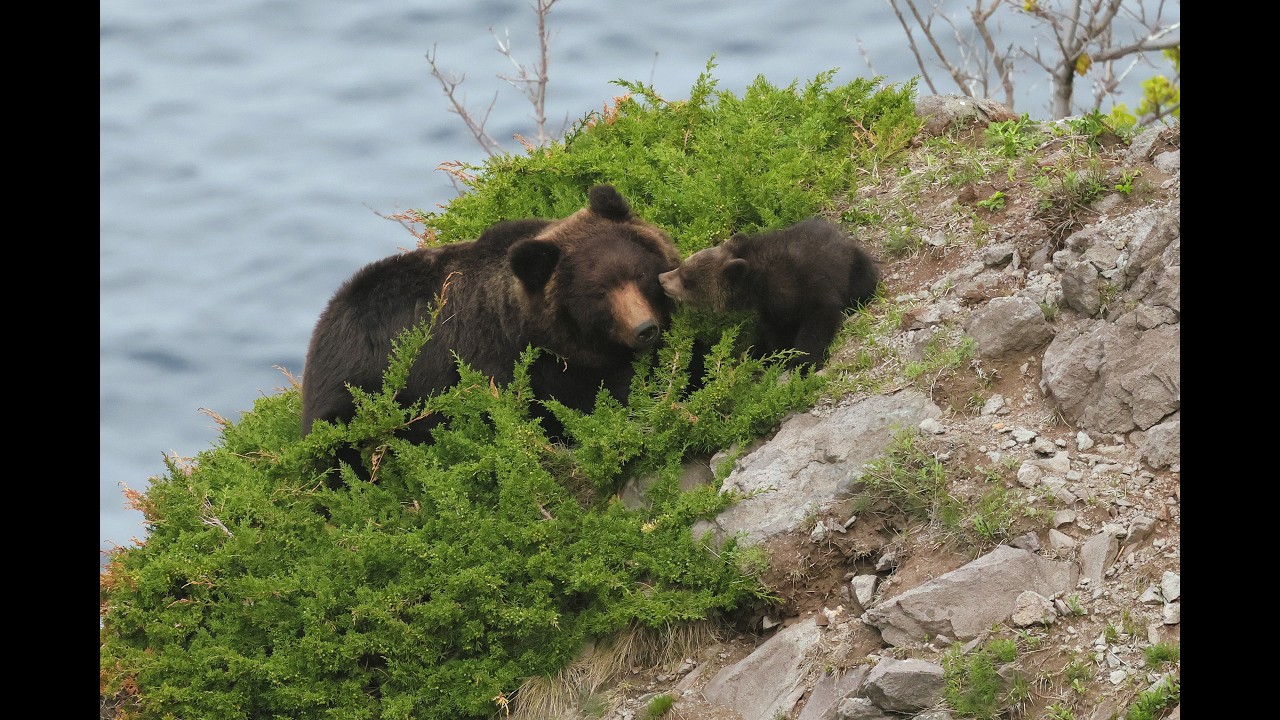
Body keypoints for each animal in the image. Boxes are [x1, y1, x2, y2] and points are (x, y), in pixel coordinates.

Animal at [658, 217, 880, 369]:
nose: (661, 278)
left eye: (687, 279)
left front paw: (802, 362)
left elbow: (818, 321)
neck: (760, 285)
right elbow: (775, 332)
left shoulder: (810, 287)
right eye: (683, 265)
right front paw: (777, 356)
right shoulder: (772, 309)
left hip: (855, 267)